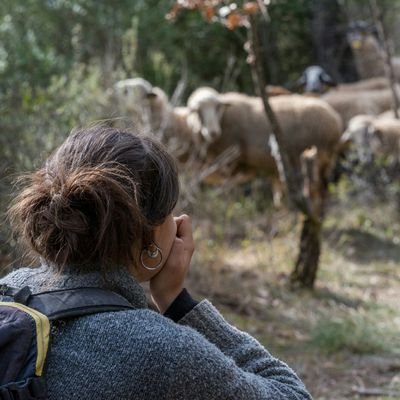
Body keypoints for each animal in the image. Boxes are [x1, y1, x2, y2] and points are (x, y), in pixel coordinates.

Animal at [186, 88, 342, 206]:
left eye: (218, 107)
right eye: (197, 110)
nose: (212, 132)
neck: (224, 119)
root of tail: (334, 118)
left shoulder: (231, 160)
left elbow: (230, 188)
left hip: (312, 158)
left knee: (314, 189)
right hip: (325, 161)